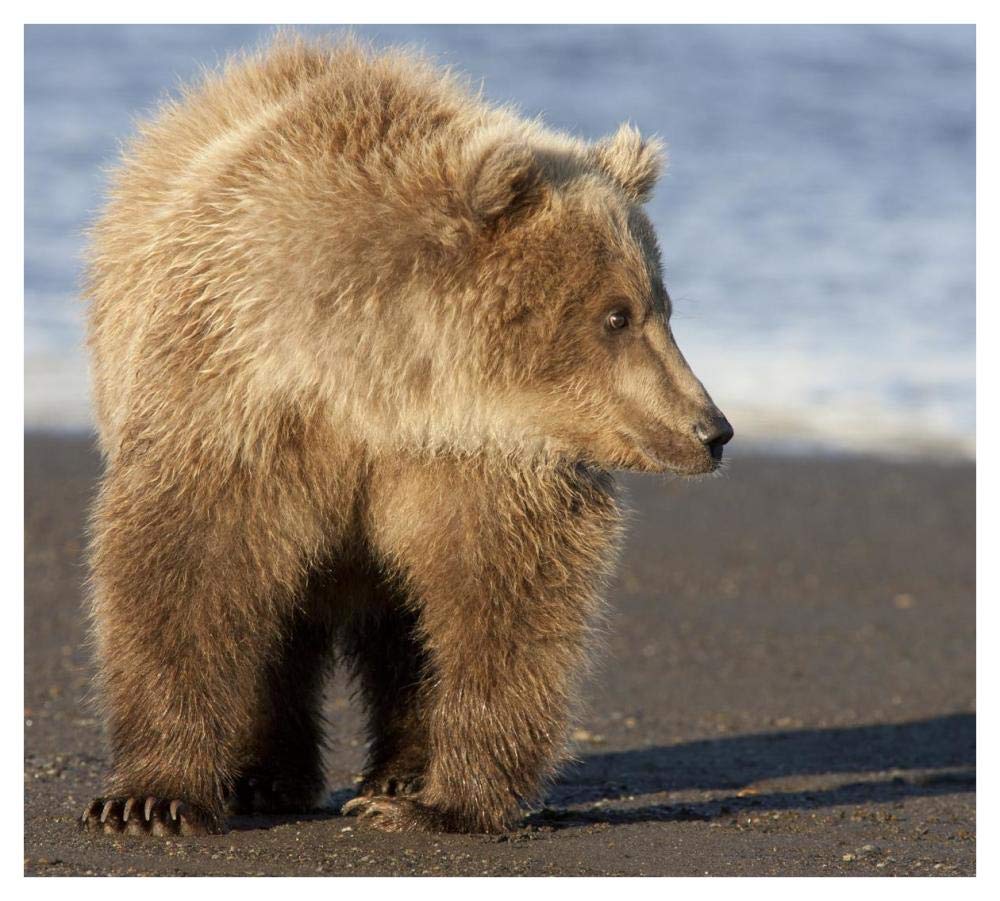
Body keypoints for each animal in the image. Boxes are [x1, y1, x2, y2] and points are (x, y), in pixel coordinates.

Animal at [80, 34, 732, 836]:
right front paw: (149, 798)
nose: (712, 429)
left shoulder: (478, 458)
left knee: (404, 624)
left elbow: (504, 601)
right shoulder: (236, 398)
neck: (381, 382)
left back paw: (395, 774)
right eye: (618, 314)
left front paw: (439, 800)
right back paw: (263, 775)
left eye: (661, 305)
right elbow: (187, 564)